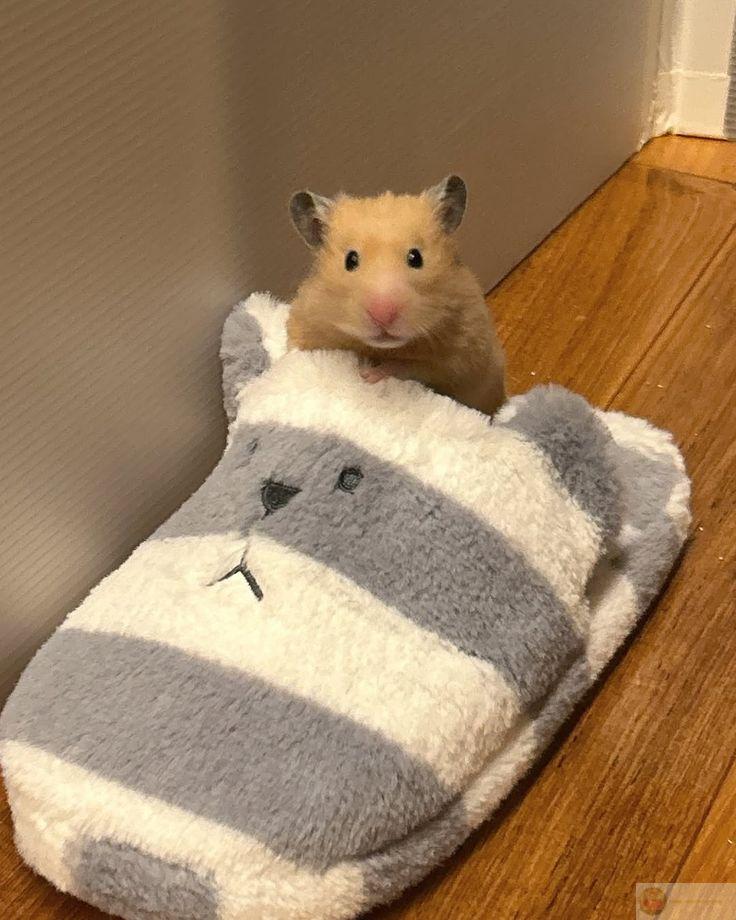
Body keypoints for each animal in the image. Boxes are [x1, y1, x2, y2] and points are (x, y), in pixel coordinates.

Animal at [286, 175, 506, 416]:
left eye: (415, 257)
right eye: (350, 260)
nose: (382, 315)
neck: (382, 348)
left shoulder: (461, 358)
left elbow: (408, 366)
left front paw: (368, 374)